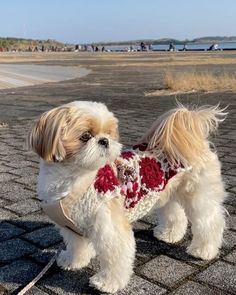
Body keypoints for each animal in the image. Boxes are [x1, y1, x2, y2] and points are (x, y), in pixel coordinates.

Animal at [29, 101, 227, 294]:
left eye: (108, 133)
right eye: (85, 136)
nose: (104, 141)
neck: (76, 178)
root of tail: (192, 139)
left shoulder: (109, 227)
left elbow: (115, 255)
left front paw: (107, 283)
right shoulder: (72, 225)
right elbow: (76, 245)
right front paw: (71, 261)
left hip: (198, 195)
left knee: (210, 221)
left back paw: (204, 250)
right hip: (168, 193)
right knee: (175, 214)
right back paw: (169, 234)